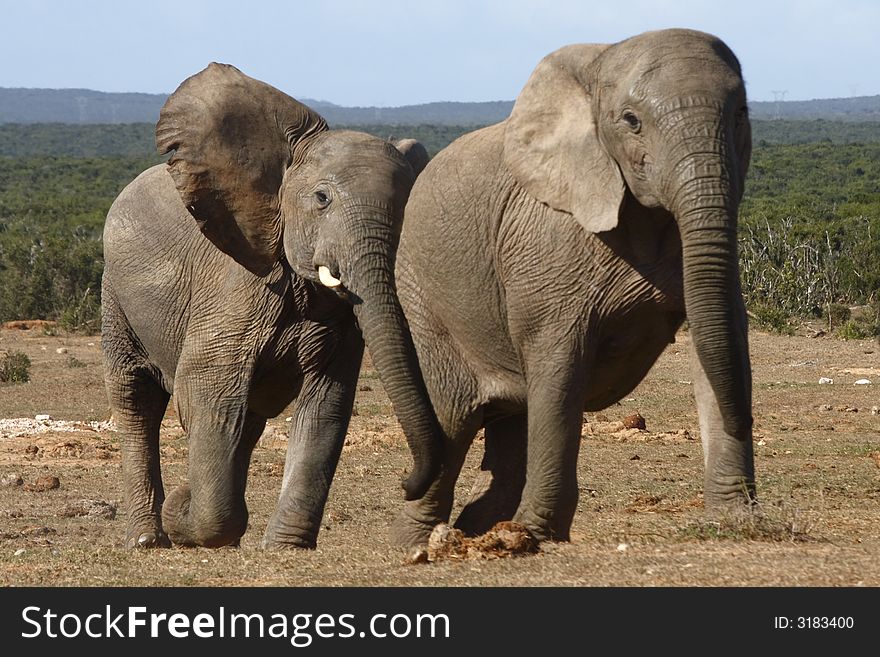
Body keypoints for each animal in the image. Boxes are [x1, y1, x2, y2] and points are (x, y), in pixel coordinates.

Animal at [103, 64, 444, 552]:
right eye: (322, 199)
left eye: (405, 208)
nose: (407, 483)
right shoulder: (233, 288)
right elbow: (206, 391)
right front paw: (187, 515)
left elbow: (326, 406)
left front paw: (284, 547)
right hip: (116, 296)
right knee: (135, 399)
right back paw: (149, 539)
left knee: (248, 420)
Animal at [390, 28, 756, 544]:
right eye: (631, 121)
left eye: (741, 112)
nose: (746, 420)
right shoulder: (547, 247)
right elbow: (559, 368)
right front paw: (535, 535)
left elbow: (720, 339)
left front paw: (735, 520)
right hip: (422, 294)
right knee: (453, 421)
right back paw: (421, 541)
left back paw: (478, 528)